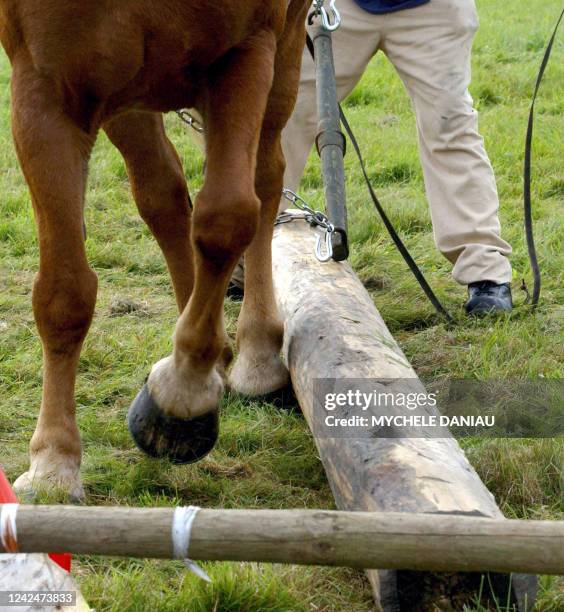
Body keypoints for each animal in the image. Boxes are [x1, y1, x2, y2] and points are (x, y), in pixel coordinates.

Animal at [0, 0, 308, 500]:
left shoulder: (246, 51)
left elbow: (228, 217)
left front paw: (182, 393)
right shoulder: (47, 94)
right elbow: (64, 292)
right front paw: (54, 462)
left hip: (285, 48)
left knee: (265, 179)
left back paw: (254, 355)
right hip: (127, 97)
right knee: (163, 194)